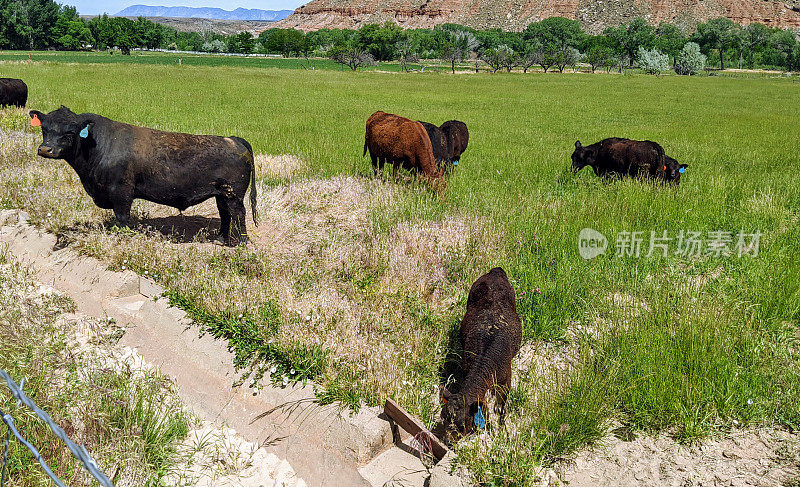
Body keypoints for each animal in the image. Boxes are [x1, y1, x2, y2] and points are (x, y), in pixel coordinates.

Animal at [30, 106, 256, 244]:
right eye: (44, 129)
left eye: (69, 132)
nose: (45, 150)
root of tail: (233, 139)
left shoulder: (121, 192)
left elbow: (122, 217)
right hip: (221, 194)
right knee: (225, 214)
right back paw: (221, 239)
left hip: (233, 195)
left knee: (238, 213)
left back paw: (239, 242)